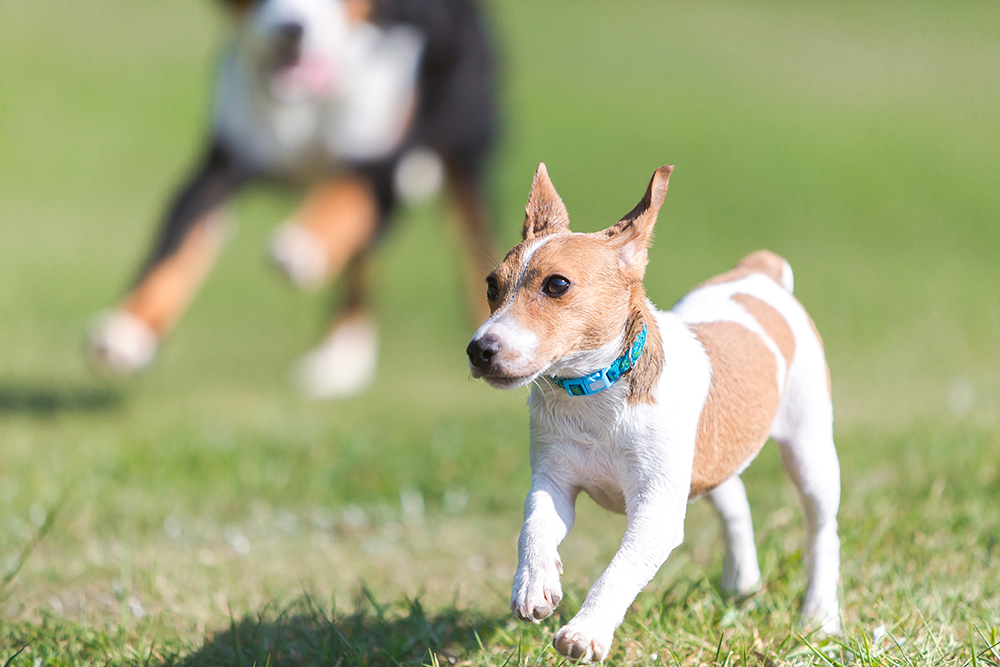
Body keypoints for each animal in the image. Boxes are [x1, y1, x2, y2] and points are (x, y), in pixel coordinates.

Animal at [92, 0, 498, 396]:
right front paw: (127, 330)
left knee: (466, 234)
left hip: (462, 151)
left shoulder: (381, 154)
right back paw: (340, 357)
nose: (292, 28)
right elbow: (176, 246)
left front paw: (302, 245)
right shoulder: (223, 164)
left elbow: (343, 195)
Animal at [464, 166, 840, 664]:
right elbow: (536, 526)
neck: (595, 392)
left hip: (809, 448)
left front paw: (586, 630)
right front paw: (534, 583)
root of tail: (758, 272)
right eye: (491, 286)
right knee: (734, 498)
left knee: (821, 531)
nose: (478, 350)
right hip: (707, 454)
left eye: (557, 285)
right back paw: (742, 581)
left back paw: (820, 616)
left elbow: (620, 569)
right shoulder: (553, 479)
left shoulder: (656, 507)